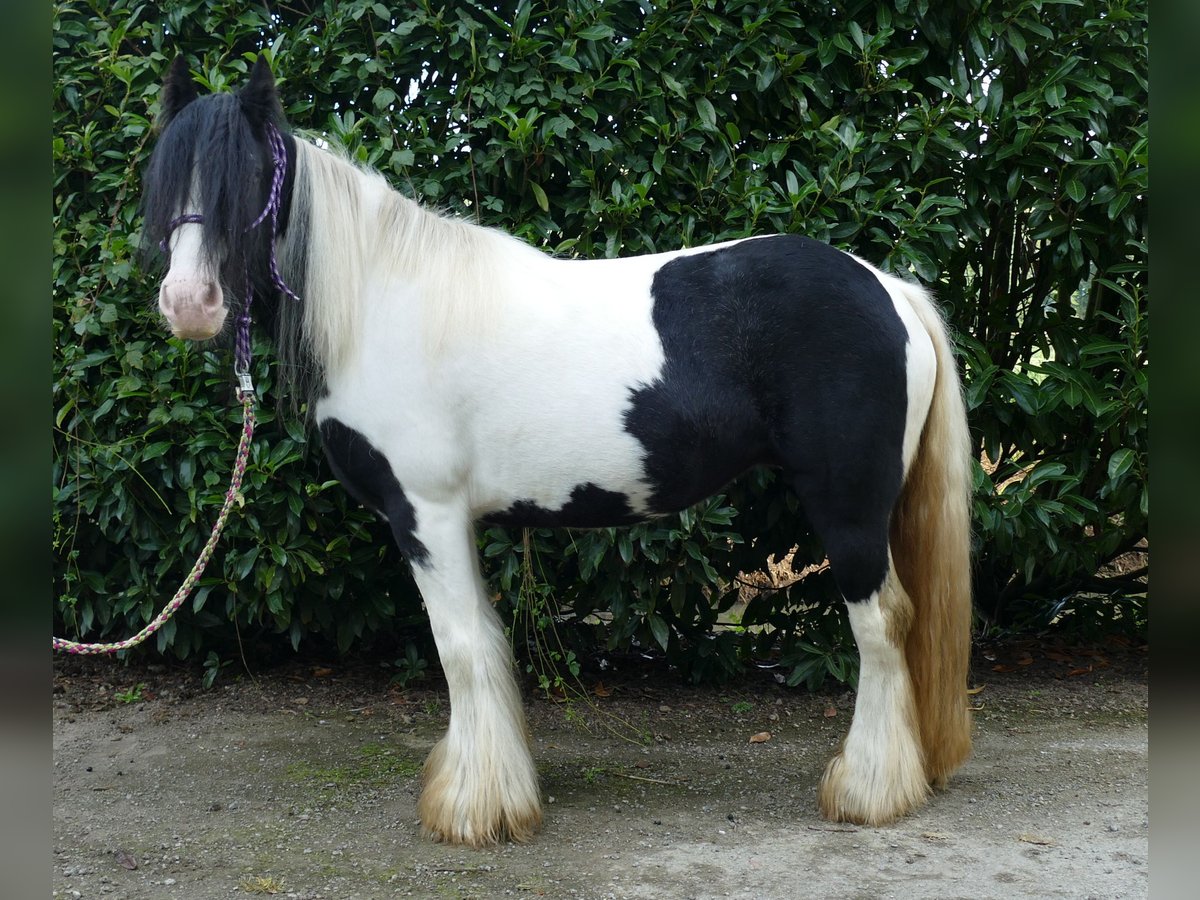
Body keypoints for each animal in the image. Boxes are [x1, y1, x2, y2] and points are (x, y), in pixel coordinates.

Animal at [145, 60, 979, 849]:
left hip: (849, 509)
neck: (383, 305)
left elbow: (460, 649)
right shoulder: (452, 521)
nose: (189, 304)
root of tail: (890, 289)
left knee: (882, 626)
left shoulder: (425, 514)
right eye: (166, 180)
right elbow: (484, 644)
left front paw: (472, 810)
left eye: (247, 180)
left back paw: (868, 790)